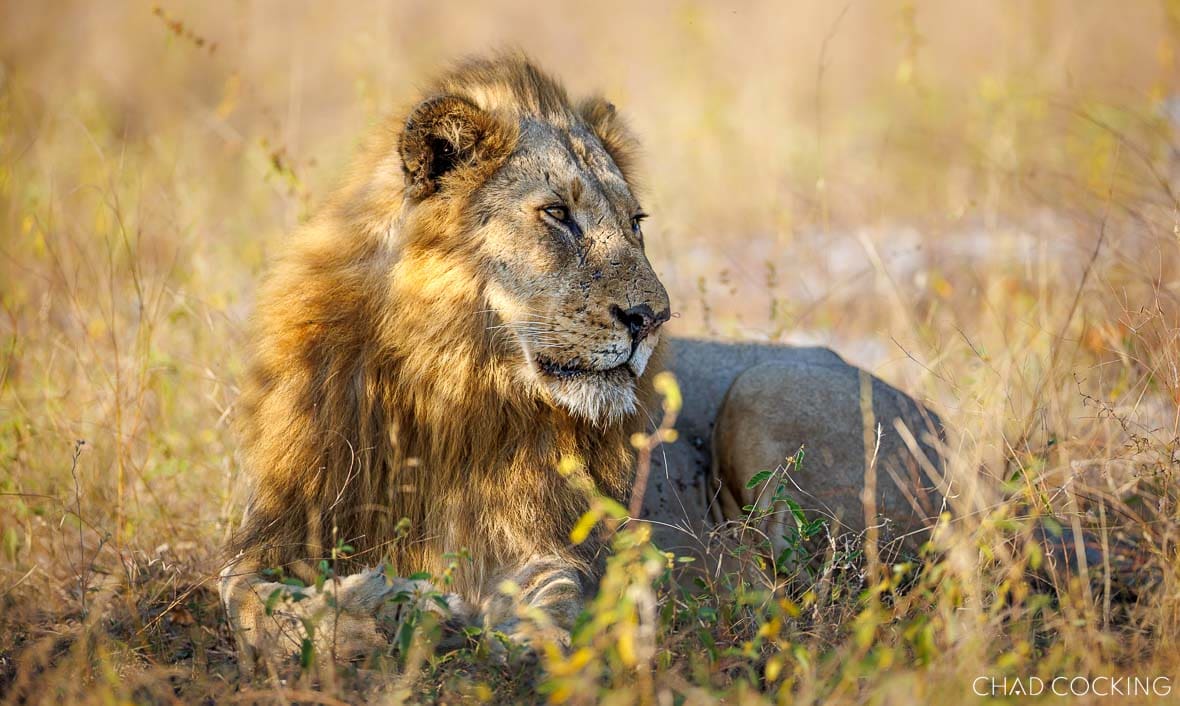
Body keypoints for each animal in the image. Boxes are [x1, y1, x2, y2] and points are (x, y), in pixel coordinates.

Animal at [220, 53, 946, 671]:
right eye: (556, 214)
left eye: (635, 223)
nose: (652, 318)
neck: (448, 386)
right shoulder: (273, 529)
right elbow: (248, 598)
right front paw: (378, 610)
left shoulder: (542, 539)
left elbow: (552, 598)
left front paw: (484, 632)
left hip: (768, 392)